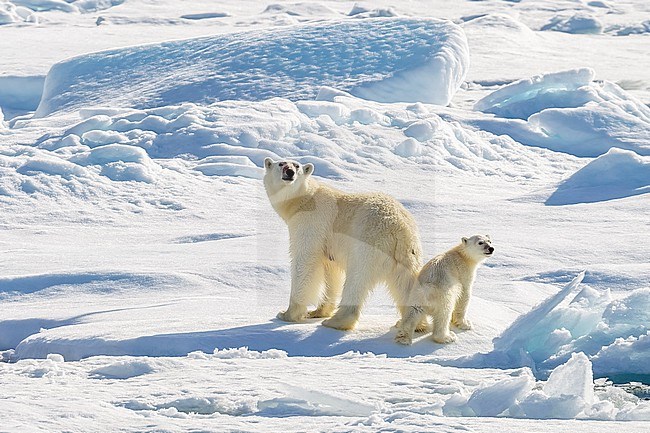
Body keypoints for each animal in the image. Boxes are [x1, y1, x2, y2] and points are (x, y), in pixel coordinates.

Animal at [262, 157, 420, 330]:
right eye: (281, 164)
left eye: (296, 166)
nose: (289, 172)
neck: (304, 200)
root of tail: (400, 228)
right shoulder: (329, 244)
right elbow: (331, 271)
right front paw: (317, 311)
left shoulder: (311, 222)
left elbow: (304, 260)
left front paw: (286, 314)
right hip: (406, 254)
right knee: (406, 283)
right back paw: (415, 323)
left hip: (368, 242)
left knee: (357, 278)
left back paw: (336, 321)